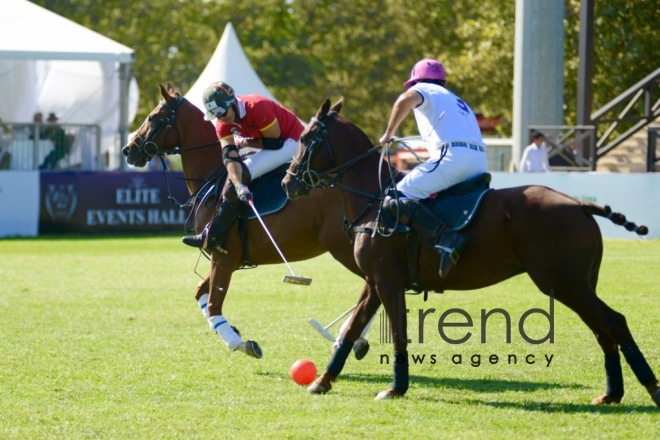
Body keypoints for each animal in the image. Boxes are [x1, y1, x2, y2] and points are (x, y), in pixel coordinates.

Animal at [121, 84, 378, 360]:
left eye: (152, 117)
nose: (128, 150)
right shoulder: (229, 259)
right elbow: (201, 293)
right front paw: (234, 332)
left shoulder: (223, 256)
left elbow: (213, 305)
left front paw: (241, 343)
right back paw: (350, 336)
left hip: (344, 248)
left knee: (372, 288)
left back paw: (346, 336)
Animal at [282, 97, 656, 406]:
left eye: (306, 139)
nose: (288, 183)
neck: (373, 199)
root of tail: (579, 205)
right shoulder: (374, 282)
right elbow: (351, 329)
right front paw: (321, 381)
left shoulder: (388, 281)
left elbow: (398, 334)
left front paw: (395, 389)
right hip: (578, 283)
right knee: (602, 329)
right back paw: (611, 394)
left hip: (564, 282)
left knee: (614, 322)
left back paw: (651, 388)